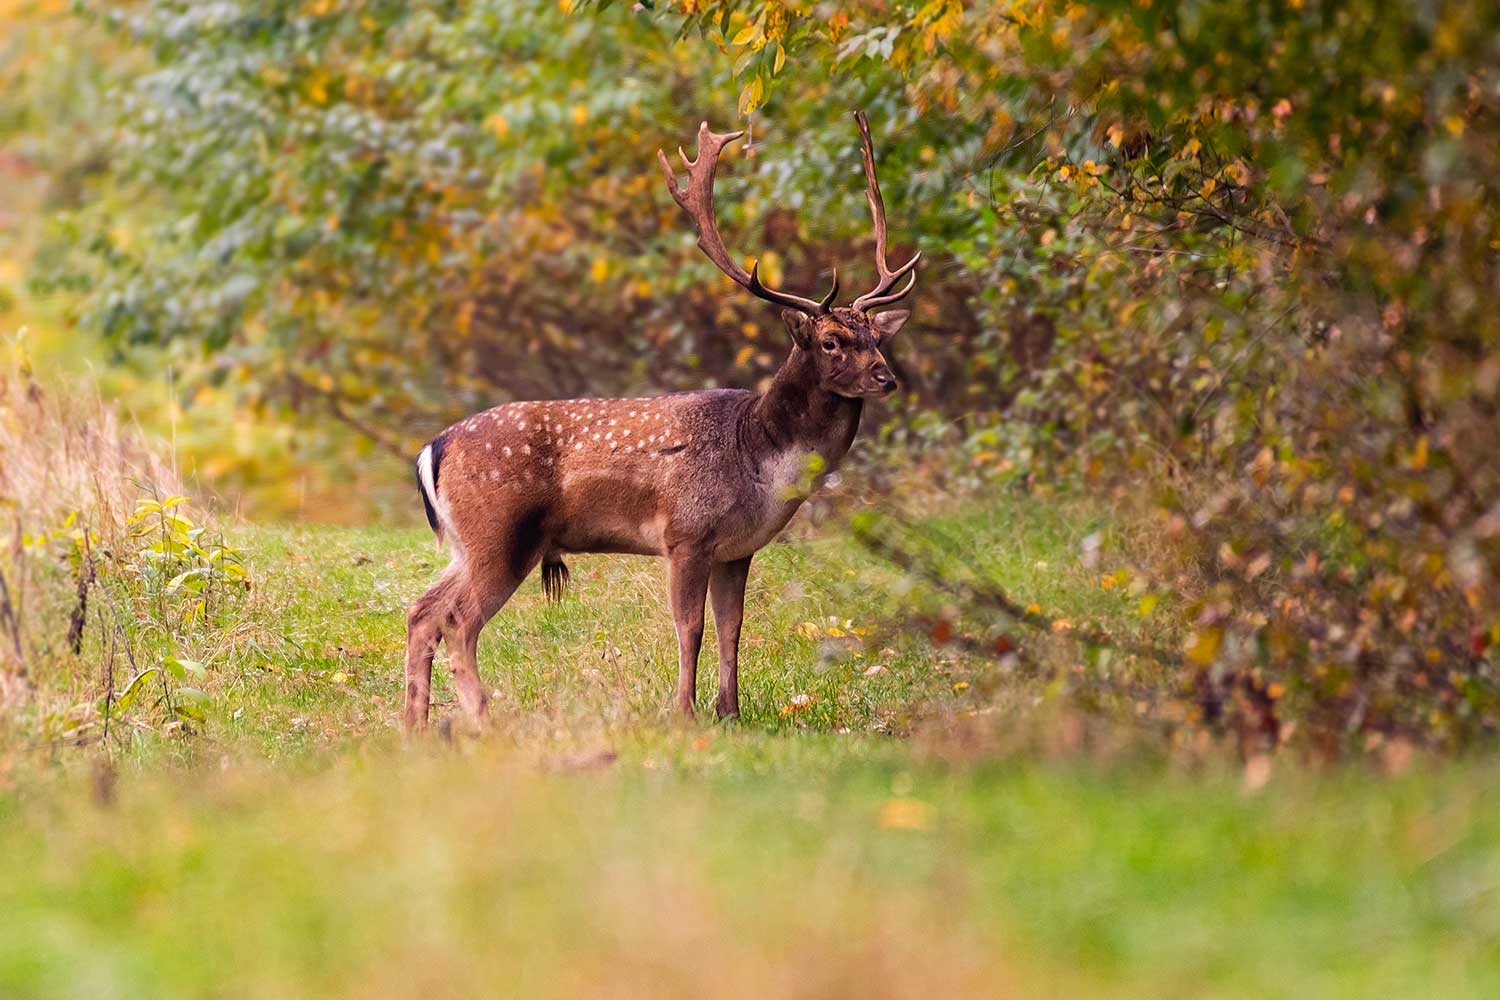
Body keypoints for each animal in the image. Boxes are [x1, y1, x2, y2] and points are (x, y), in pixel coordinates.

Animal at [402, 111, 912, 734]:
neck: (759, 458)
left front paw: (730, 712)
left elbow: (732, 629)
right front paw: (685, 713)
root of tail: (433, 447)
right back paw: (482, 718)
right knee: (456, 618)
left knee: (422, 610)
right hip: (499, 533)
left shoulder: (737, 549)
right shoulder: (686, 534)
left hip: (468, 543)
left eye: (877, 336)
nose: (886, 377)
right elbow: (689, 628)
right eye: (832, 340)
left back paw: (414, 727)